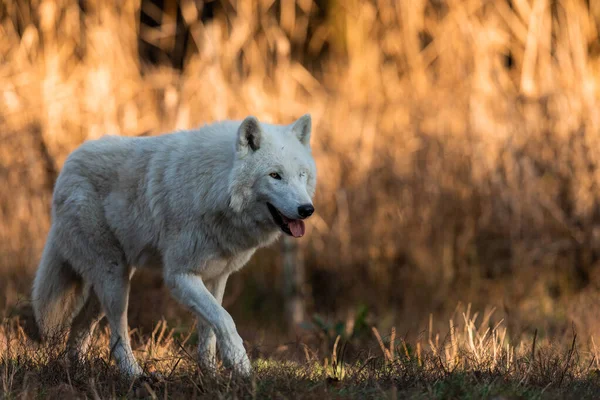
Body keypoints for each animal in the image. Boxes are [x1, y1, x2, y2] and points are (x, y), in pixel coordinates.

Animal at [30, 115, 316, 378]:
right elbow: (225, 319)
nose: (307, 209)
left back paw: (77, 371)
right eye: (275, 175)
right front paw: (241, 367)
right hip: (114, 279)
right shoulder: (179, 275)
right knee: (117, 334)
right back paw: (134, 375)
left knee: (80, 329)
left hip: (107, 286)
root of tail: (68, 165)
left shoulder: (216, 277)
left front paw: (211, 376)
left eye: (302, 175)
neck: (215, 186)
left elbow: (209, 331)